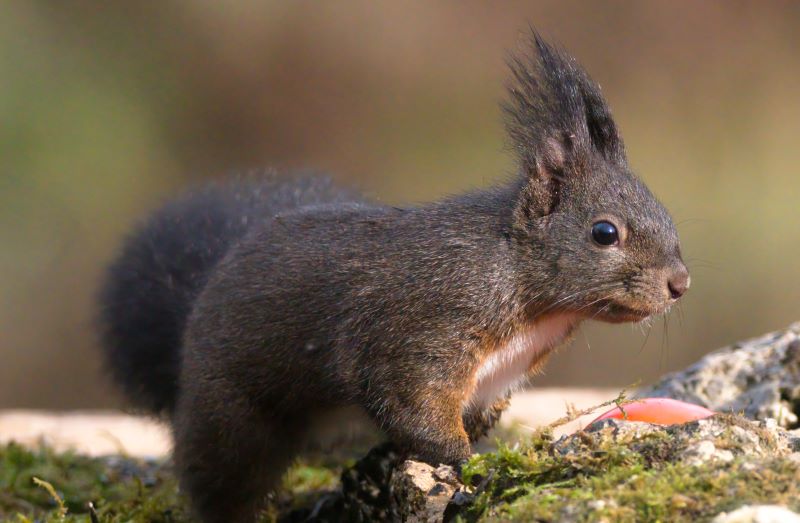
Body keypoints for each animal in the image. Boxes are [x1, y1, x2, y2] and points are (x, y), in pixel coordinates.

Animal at [98, 33, 688, 523]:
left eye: (665, 213)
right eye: (604, 232)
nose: (679, 283)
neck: (519, 279)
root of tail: (191, 315)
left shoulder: (491, 382)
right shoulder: (422, 331)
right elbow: (414, 408)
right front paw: (469, 471)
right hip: (231, 416)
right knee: (220, 482)